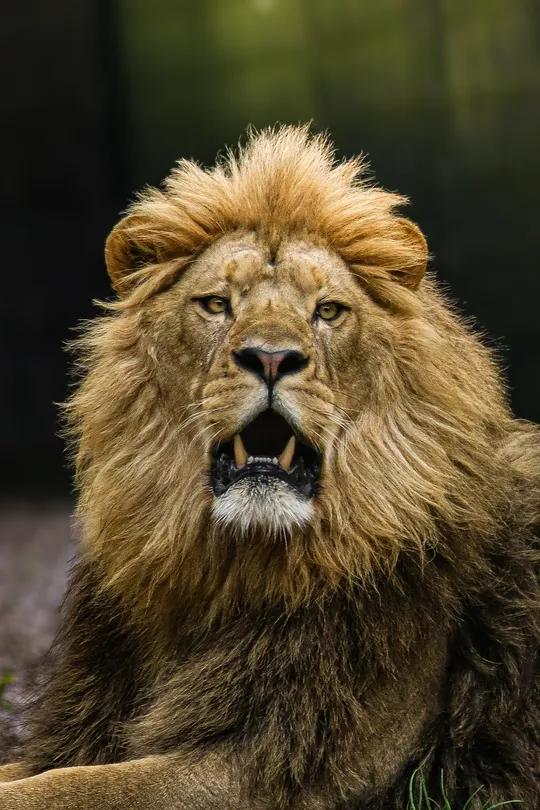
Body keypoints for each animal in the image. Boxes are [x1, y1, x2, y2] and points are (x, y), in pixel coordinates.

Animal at [1, 125, 539, 810]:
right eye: (216, 304)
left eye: (328, 311)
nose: (272, 358)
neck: (231, 570)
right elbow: (41, 772)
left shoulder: (287, 769)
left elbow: (71, 788)